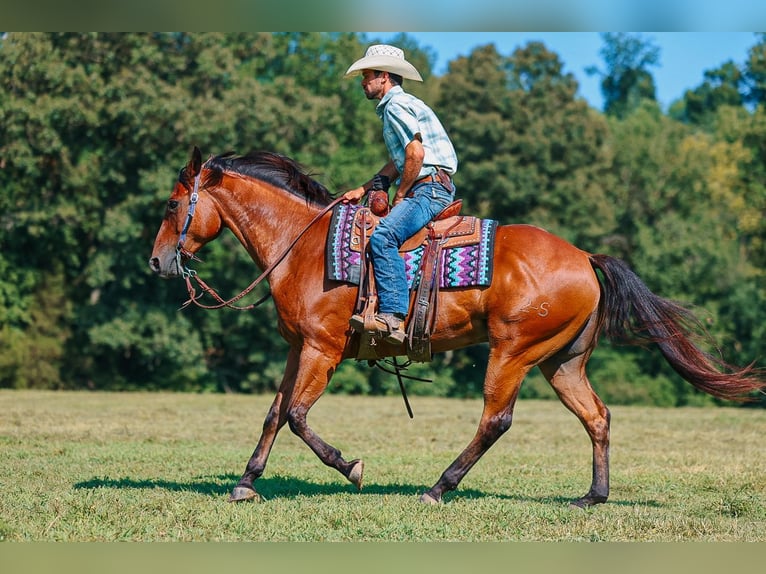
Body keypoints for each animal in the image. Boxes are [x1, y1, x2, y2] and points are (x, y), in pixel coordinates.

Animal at [149, 146, 765, 507]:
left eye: (174, 204)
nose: (157, 262)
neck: (302, 247)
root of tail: (586, 257)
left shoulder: (322, 350)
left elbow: (299, 417)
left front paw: (351, 467)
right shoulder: (297, 349)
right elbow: (275, 414)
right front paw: (246, 482)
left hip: (513, 351)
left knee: (496, 420)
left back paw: (438, 487)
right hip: (561, 361)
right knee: (597, 416)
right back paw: (593, 496)